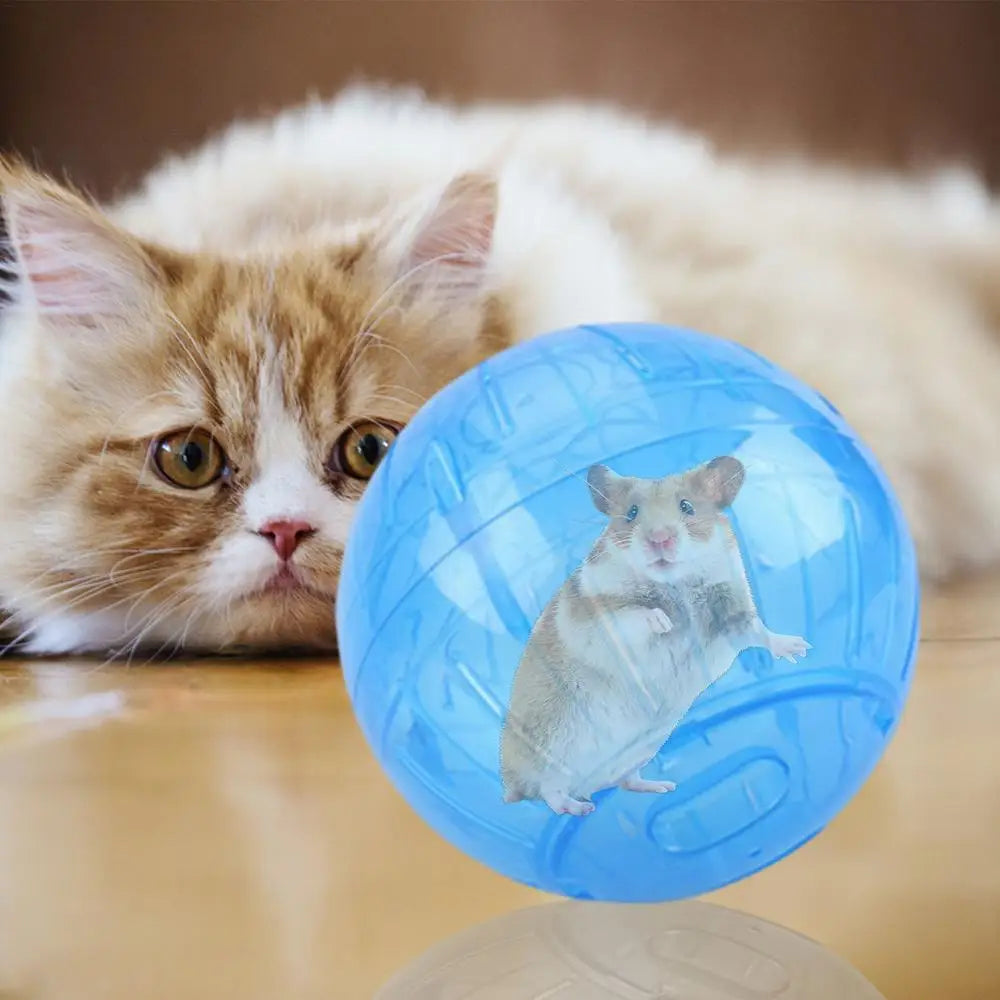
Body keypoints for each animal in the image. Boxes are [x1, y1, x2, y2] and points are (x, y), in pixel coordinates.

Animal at [499, 456, 810, 817]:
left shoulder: (732, 612)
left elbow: (758, 632)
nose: (660, 539)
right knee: (549, 793)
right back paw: (580, 808)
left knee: (625, 782)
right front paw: (663, 622)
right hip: (550, 753)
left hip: (637, 755)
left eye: (687, 507)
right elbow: (631, 615)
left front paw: (799, 648)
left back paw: (661, 786)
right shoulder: (595, 617)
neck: (675, 583)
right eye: (632, 513)